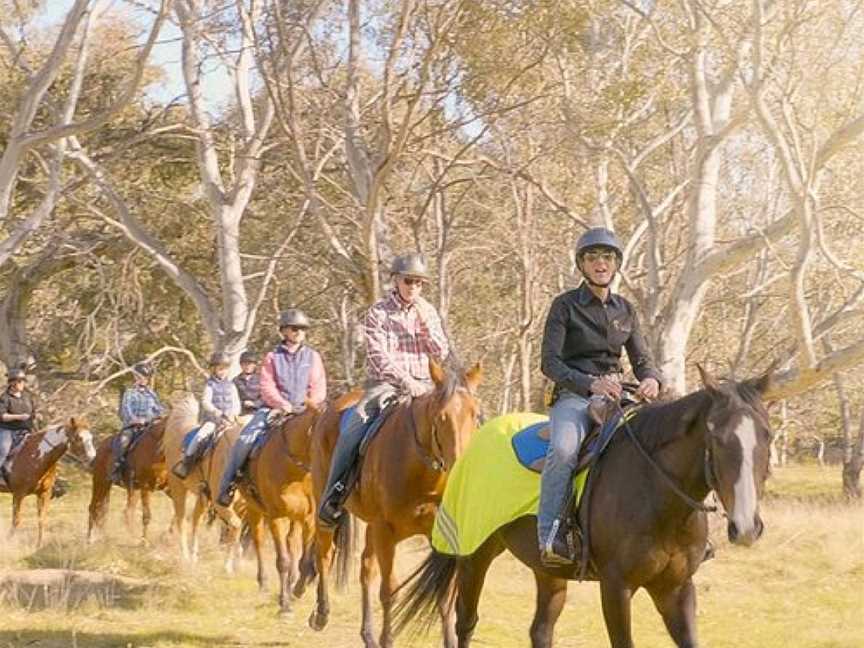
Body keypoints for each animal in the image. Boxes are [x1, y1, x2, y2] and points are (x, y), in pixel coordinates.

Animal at [0, 418, 96, 548]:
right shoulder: (18, 494)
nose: (93, 460)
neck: (35, 457)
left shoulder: (44, 493)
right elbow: (16, 520)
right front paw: (8, 541)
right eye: (79, 438)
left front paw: (38, 545)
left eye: (90, 437)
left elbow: (41, 520)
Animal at [88, 412, 170, 544]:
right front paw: (144, 541)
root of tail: (101, 447)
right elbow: (146, 515)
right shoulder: (145, 487)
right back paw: (90, 538)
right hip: (100, 482)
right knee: (94, 507)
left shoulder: (167, 487)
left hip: (124, 488)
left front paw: (166, 536)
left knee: (122, 512)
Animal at [164, 394, 248, 572]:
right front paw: (228, 566)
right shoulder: (221, 504)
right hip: (178, 488)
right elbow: (235, 526)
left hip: (202, 496)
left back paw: (194, 556)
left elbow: (234, 530)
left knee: (195, 519)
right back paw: (185, 556)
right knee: (182, 520)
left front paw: (237, 560)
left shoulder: (241, 507)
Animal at [310, 360, 486, 648]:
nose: (460, 467)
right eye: (441, 417)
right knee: (324, 553)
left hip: (370, 526)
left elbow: (445, 596)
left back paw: (368, 635)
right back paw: (321, 614)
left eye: (474, 414)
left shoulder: (436, 535)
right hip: (325, 503)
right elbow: (390, 590)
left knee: (365, 568)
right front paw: (388, 639)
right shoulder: (386, 531)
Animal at [394, 364, 772, 648]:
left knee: (540, 631)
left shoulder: (676, 589)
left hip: (547, 570)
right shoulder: (616, 588)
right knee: (466, 622)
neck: (657, 495)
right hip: (476, 554)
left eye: (767, 435)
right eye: (718, 437)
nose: (746, 528)